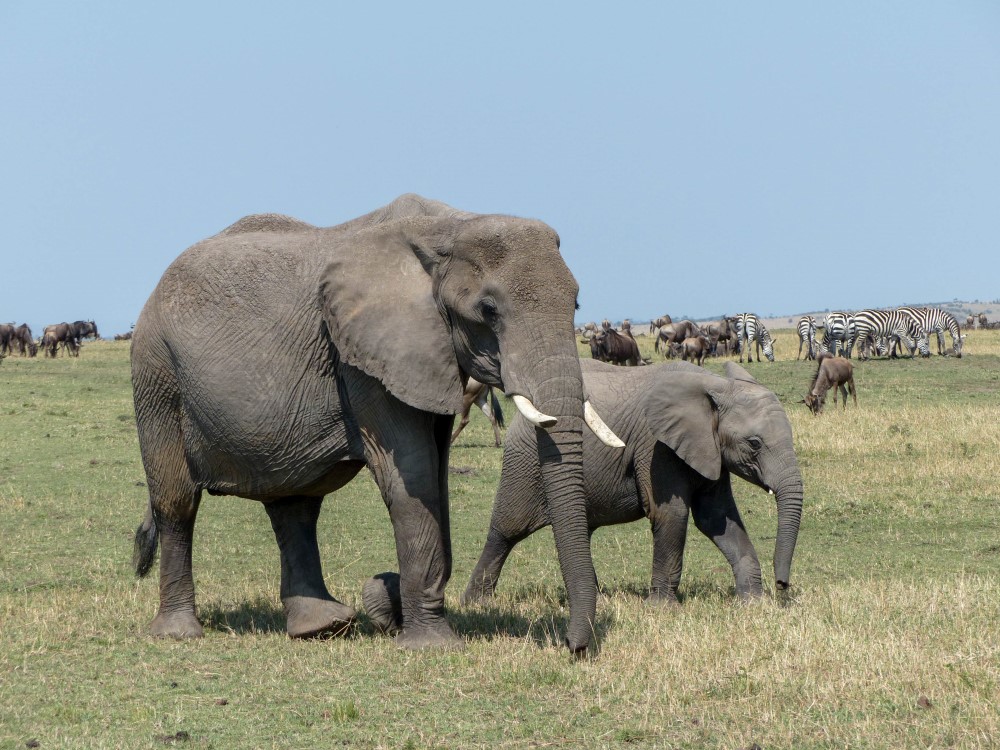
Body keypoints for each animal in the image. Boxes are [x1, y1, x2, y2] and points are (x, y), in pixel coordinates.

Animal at [129, 194, 620, 652]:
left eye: (576, 303)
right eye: (489, 310)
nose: (573, 647)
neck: (449, 226)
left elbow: (436, 478)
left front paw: (393, 607)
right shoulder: (365, 359)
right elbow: (413, 475)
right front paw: (429, 643)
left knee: (294, 505)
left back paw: (321, 627)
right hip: (157, 372)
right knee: (177, 501)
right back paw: (179, 632)